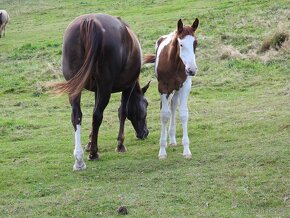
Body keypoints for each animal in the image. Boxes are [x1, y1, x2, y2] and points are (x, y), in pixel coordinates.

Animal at [53, 13, 150, 170]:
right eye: (146, 104)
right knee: (97, 115)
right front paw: (120, 144)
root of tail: (89, 22)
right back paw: (94, 153)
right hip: (105, 87)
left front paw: (89, 142)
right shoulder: (127, 87)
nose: (145, 133)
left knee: (77, 116)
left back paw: (79, 160)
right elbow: (122, 112)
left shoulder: (97, 90)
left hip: (76, 87)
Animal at [143, 18, 198, 158]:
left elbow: (183, 114)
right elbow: (164, 115)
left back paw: (172, 139)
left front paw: (186, 150)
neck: (174, 63)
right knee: (167, 108)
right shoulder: (162, 88)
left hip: (176, 89)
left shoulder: (185, 87)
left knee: (173, 106)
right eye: (181, 44)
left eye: (195, 43)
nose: (192, 70)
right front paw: (162, 150)